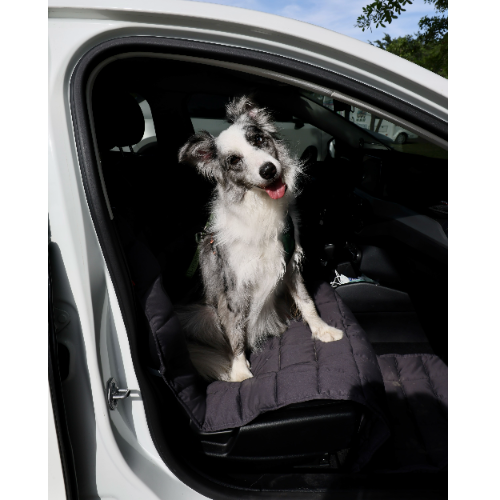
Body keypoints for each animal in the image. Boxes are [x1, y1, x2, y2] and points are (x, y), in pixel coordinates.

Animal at [177, 96, 343, 382]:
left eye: (257, 139)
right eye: (234, 160)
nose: (268, 169)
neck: (260, 206)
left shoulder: (289, 264)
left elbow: (307, 301)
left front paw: (322, 330)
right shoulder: (235, 285)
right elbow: (235, 331)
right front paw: (240, 370)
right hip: (202, 315)